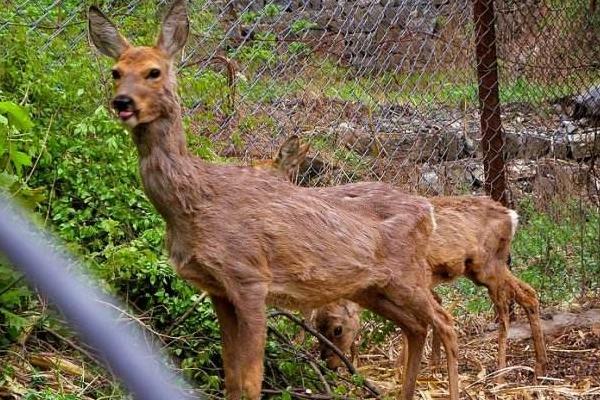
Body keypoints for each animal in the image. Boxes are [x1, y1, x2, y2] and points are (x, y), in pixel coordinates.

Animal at [86, 1, 460, 398]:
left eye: (153, 71)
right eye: (116, 72)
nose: (122, 102)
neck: (194, 202)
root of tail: (427, 209)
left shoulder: (249, 277)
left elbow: (251, 378)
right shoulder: (218, 289)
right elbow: (232, 376)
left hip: (406, 275)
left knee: (445, 321)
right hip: (373, 287)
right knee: (416, 326)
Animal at [264, 137, 548, 378]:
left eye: (337, 329)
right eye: (319, 329)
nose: (331, 365)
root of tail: (512, 216)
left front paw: (404, 367)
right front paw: (430, 365)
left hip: (487, 267)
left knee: (505, 308)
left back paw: (500, 370)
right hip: (489, 267)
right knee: (528, 293)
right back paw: (539, 366)